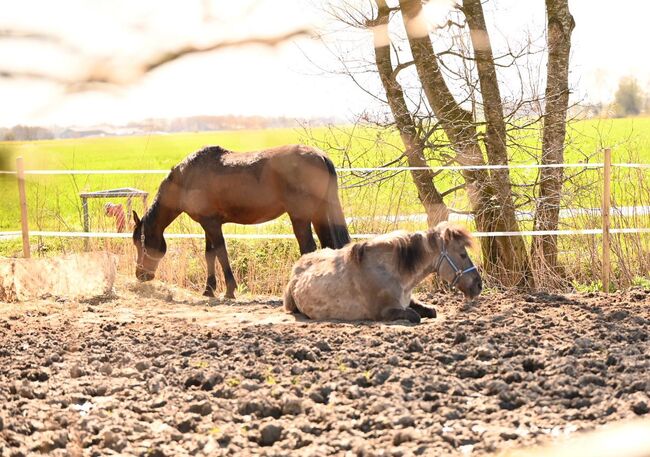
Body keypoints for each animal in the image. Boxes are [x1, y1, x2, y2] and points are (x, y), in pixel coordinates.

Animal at [131, 144, 350, 298]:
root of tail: (320, 156)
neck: (187, 177)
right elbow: (210, 255)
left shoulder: (211, 224)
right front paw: (209, 289)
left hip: (300, 217)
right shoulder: (208, 224)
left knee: (308, 248)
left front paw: (229, 290)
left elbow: (221, 253)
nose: (141, 275)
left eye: (139, 243)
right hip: (319, 215)